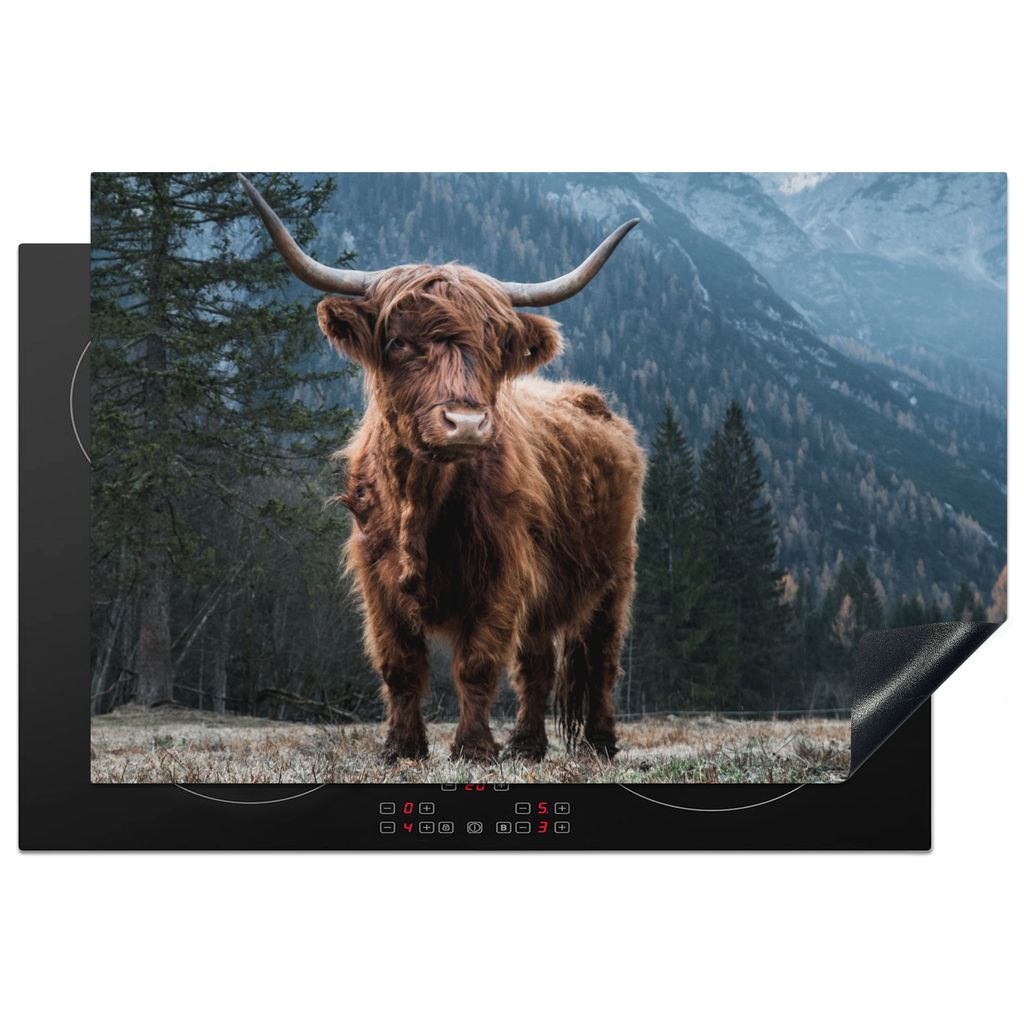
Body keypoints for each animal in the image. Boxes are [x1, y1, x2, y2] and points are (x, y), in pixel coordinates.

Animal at [240, 175, 645, 763]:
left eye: (494, 347)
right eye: (399, 341)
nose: (467, 423)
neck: (421, 500)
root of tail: (591, 400)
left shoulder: (502, 573)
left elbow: (477, 665)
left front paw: (473, 748)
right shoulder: (376, 578)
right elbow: (400, 665)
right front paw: (401, 747)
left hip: (615, 575)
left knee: (601, 660)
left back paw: (599, 742)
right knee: (538, 664)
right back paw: (527, 745)